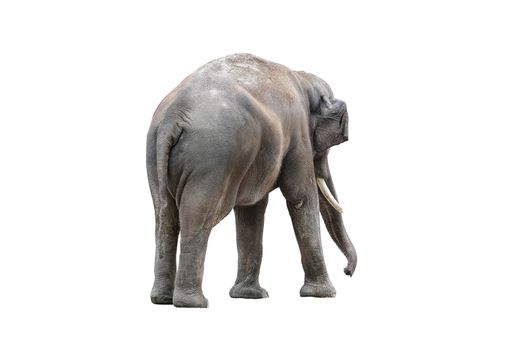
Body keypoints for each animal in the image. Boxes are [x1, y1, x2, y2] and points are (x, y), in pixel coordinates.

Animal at [145, 53, 354, 308]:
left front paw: (250, 295)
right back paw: (193, 303)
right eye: (325, 148)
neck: (302, 78)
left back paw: (162, 299)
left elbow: (252, 210)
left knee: (165, 216)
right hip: (211, 159)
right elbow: (300, 197)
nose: (347, 272)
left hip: (155, 155)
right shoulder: (298, 137)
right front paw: (324, 294)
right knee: (197, 215)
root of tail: (173, 116)